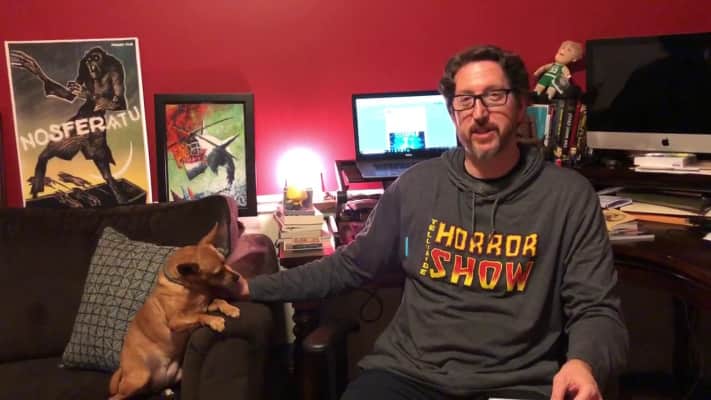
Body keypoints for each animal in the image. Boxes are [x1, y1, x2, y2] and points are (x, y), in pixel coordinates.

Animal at [108, 224, 241, 399]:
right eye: (217, 273)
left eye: (225, 262)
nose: (237, 277)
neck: (190, 288)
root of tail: (122, 369)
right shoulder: (176, 321)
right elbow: (199, 315)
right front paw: (215, 320)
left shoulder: (206, 305)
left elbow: (218, 300)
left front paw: (230, 308)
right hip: (139, 378)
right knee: (115, 397)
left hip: (170, 376)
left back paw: (165, 390)